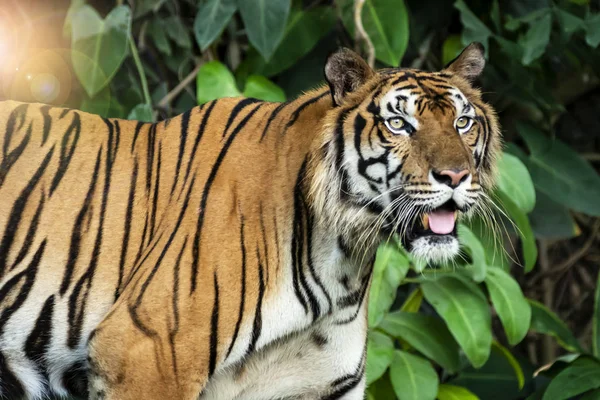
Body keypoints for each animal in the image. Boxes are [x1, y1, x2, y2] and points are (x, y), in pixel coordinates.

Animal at [0, 42, 502, 398]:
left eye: (462, 122)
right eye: (399, 125)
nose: (455, 176)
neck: (341, 259)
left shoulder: (319, 383)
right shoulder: (147, 353)